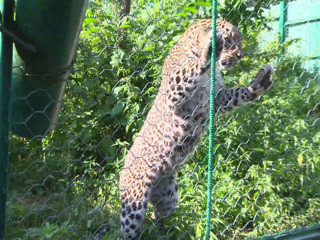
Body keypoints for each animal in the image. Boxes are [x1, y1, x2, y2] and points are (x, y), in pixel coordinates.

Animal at [97, 17, 272, 239]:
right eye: (232, 40)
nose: (240, 56)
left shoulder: (218, 99)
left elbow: (238, 94)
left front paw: (259, 83)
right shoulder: (174, 92)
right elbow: (190, 70)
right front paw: (211, 47)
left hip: (169, 195)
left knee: (159, 218)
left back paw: (166, 232)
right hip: (134, 202)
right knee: (126, 231)